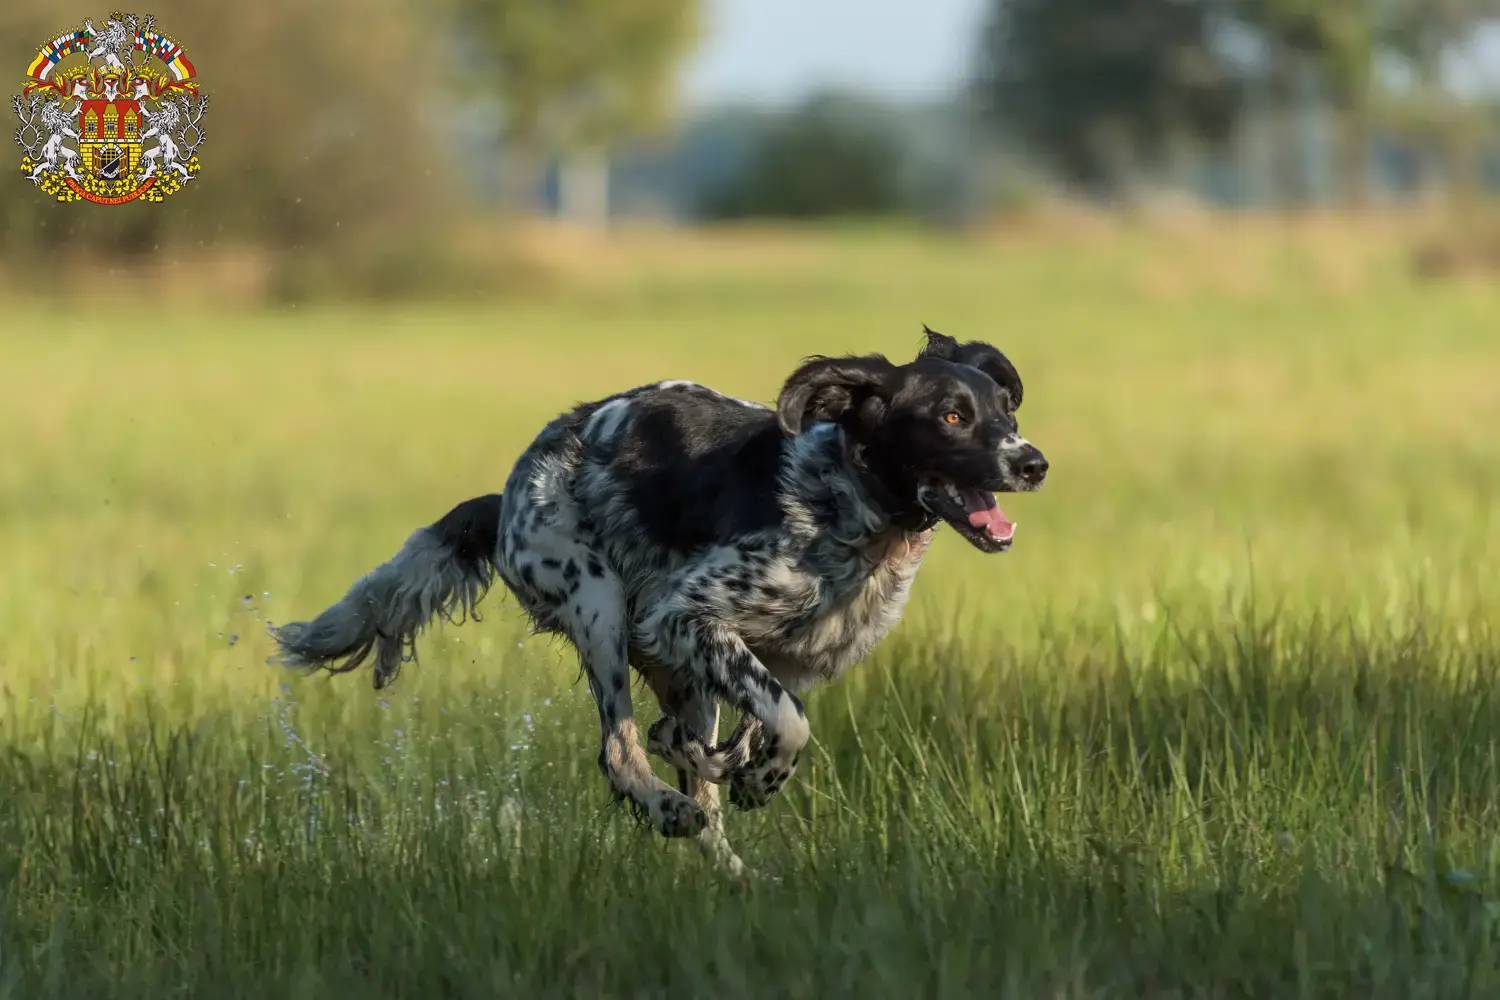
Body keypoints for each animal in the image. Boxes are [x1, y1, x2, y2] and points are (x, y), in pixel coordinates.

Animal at [270, 328, 1044, 875]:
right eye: (951, 415)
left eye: (1006, 410)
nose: (1032, 462)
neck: (850, 512)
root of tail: (509, 493)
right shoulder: (683, 613)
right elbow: (789, 724)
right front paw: (759, 782)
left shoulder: (777, 657)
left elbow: (753, 724)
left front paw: (734, 768)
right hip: (599, 605)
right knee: (620, 753)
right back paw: (669, 811)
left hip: (666, 662)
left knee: (682, 764)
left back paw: (731, 863)